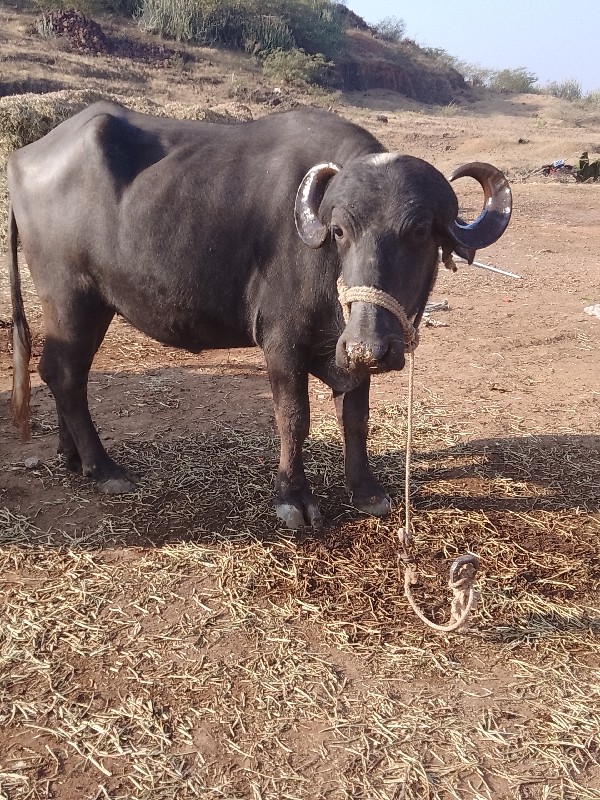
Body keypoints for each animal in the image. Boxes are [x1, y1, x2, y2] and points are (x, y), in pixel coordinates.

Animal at [5, 103, 510, 528]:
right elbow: (294, 416)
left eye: (420, 230)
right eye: (340, 230)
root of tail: (20, 159)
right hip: (71, 297)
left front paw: (365, 489)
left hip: (94, 306)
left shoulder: (347, 351)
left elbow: (355, 416)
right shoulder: (282, 343)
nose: (369, 345)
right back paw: (103, 467)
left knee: (63, 371)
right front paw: (293, 497)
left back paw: (72, 456)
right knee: (65, 372)